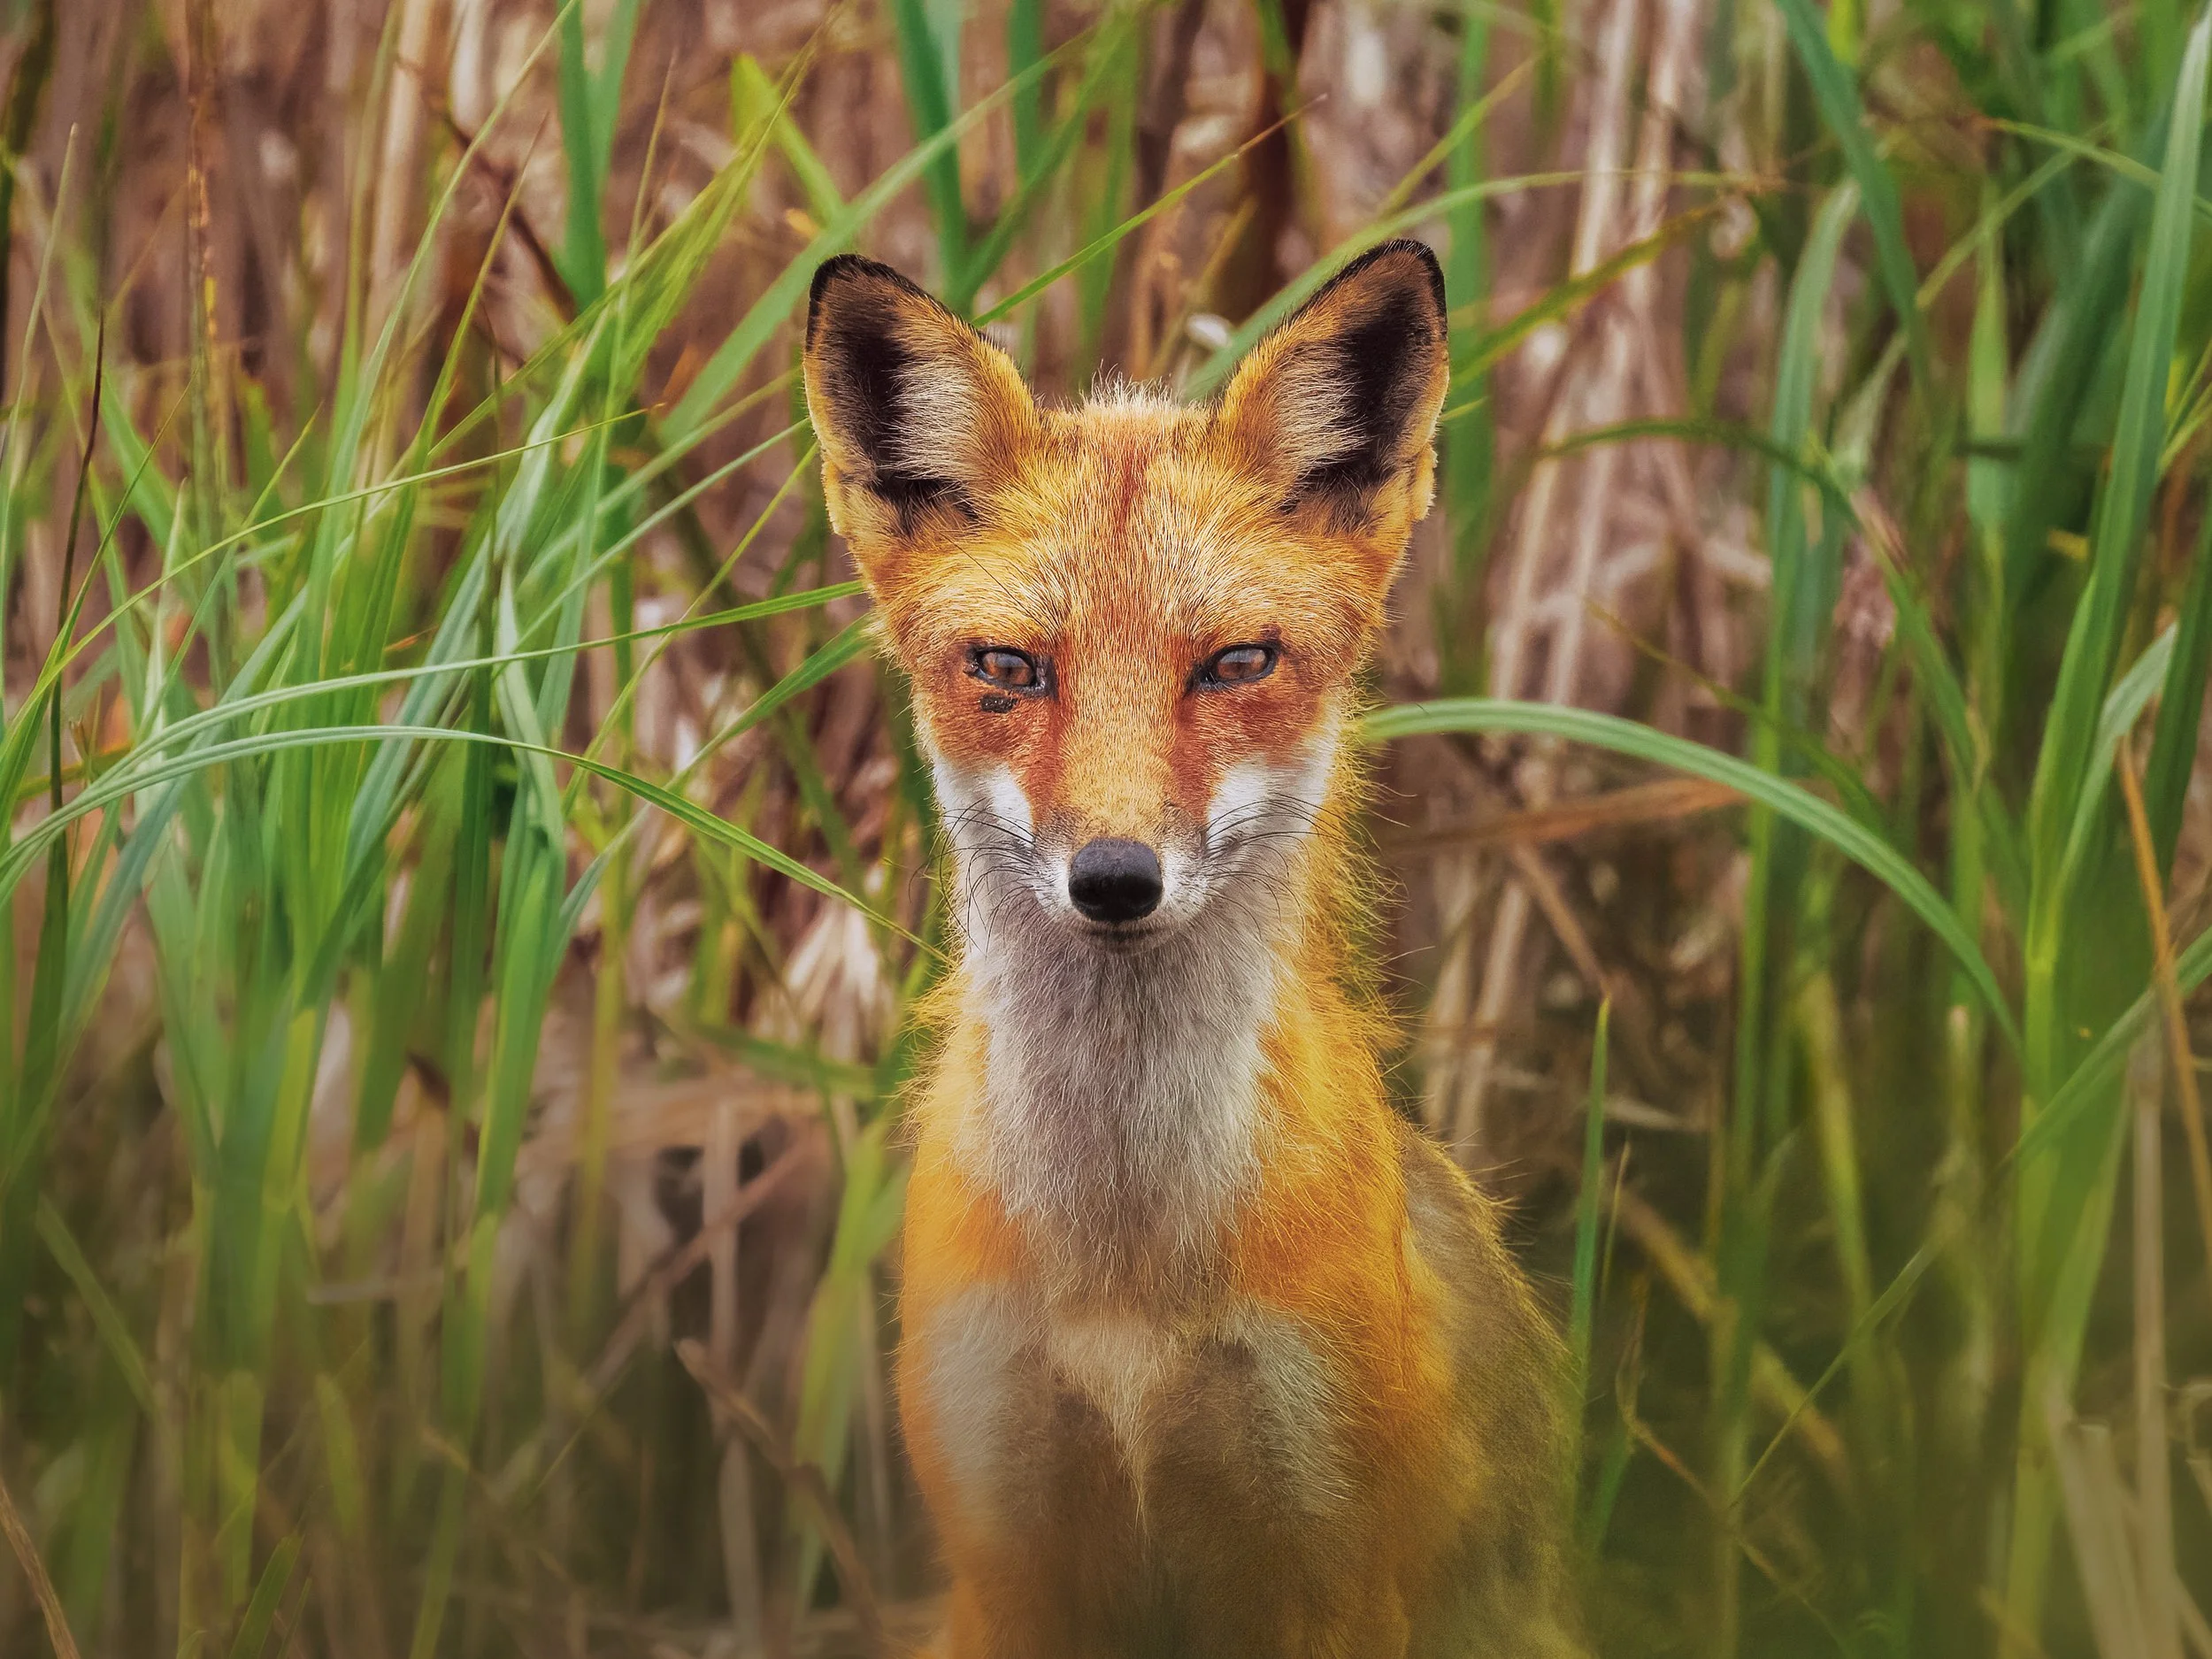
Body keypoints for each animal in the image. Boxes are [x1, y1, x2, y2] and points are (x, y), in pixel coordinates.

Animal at [801, 240, 1582, 1658]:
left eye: (1235, 663)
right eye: (1009, 668)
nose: (1115, 877)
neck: (1128, 1280)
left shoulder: (1327, 1558)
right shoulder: (1006, 1548)